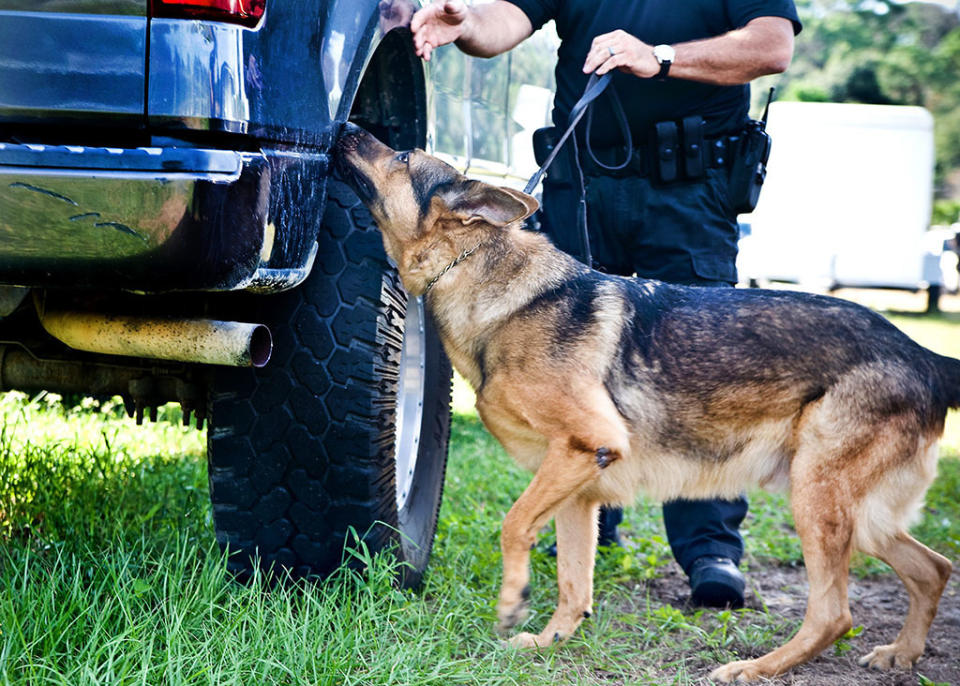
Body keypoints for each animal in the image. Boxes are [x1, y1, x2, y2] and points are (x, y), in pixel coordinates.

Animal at [334, 126, 956, 684]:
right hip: (859, 515)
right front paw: (552, 640)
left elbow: (513, 527)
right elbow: (574, 583)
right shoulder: (578, 487)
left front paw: (512, 603)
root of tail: (922, 354)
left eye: (404, 154)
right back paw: (903, 653)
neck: (477, 269)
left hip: (817, 498)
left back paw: (756, 668)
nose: (344, 127)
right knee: (933, 568)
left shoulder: (586, 447)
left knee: (834, 613)